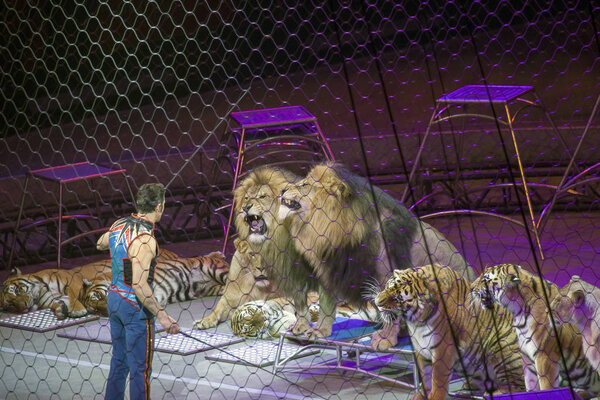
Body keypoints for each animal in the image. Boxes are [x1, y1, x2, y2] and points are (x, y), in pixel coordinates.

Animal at [0, 248, 230, 320]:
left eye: (16, 290)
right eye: (9, 305)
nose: (23, 306)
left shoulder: (73, 280)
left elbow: (73, 296)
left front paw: (75, 310)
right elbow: (60, 303)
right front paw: (61, 311)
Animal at [276, 161, 474, 348]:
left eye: (304, 184)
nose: (282, 189)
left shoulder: (385, 273)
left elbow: (390, 311)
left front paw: (385, 340)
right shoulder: (330, 268)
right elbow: (326, 304)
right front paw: (321, 331)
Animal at [370, 264, 524, 398]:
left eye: (398, 298)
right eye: (389, 286)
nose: (377, 303)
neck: (416, 321)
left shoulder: (443, 349)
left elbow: (437, 379)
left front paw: (434, 397)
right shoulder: (421, 349)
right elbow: (425, 377)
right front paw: (421, 395)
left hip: (500, 346)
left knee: (521, 385)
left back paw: (497, 392)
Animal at [472, 262, 600, 396]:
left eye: (485, 279)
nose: (471, 288)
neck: (518, 311)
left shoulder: (544, 356)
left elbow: (546, 387)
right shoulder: (527, 358)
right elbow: (530, 386)